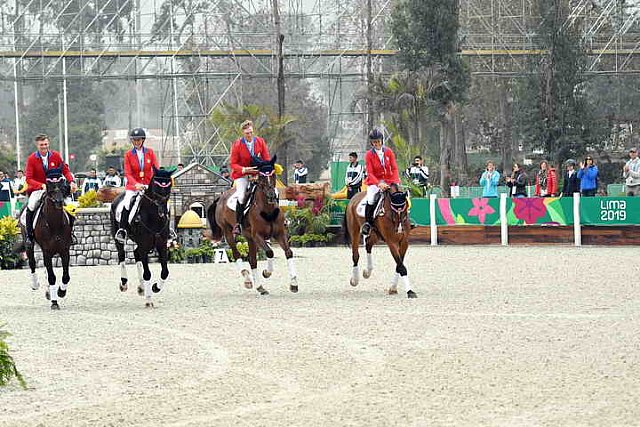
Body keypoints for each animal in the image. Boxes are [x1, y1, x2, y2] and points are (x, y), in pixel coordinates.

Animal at [20, 168, 74, 310]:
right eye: (50, 188)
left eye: (63, 187)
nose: (59, 202)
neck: (54, 223)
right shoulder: (47, 252)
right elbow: (52, 277)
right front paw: (55, 302)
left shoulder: (64, 251)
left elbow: (65, 276)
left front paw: (61, 292)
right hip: (29, 244)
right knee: (32, 263)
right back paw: (35, 285)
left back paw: (49, 292)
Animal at [109, 167, 172, 308]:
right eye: (156, 186)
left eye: (169, 186)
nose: (163, 211)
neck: (154, 218)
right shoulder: (144, 246)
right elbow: (147, 273)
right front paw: (149, 300)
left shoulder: (162, 245)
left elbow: (165, 272)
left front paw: (155, 287)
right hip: (119, 238)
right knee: (122, 255)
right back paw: (124, 283)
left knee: (136, 253)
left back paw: (142, 287)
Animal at [208, 155, 298, 296]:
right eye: (261, 176)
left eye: (273, 175)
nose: (271, 196)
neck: (268, 210)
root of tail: (221, 198)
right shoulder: (257, 236)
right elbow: (270, 252)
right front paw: (266, 273)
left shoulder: (279, 234)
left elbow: (288, 252)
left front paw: (293, 284)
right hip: (229, 232)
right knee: (236, 254)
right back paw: (248, 280)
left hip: (249, 237)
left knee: (252, 260)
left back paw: (260, 287)